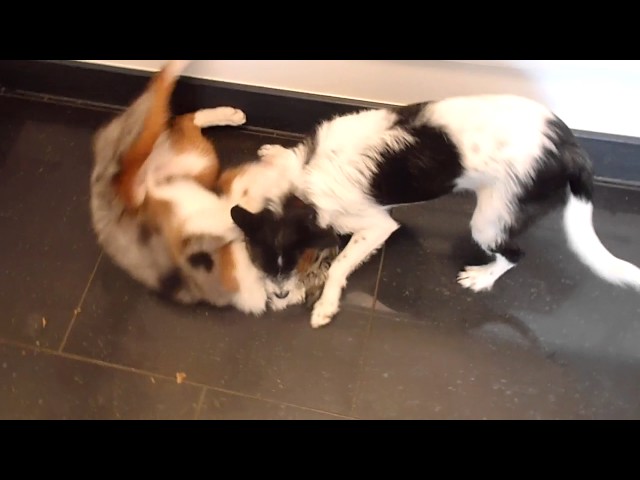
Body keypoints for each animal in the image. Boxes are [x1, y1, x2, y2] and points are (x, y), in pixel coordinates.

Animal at [91, 60, 337, 315]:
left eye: (299, 268)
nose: (282, 293)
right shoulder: (225, 196)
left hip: (200, 162)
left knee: (184, 119)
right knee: (165, 89)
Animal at [230, 95, 640, 328]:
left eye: (295, 260)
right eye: (262, 262)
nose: (279, 297)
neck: (303, 182)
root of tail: (570, 147)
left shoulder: (377, 226)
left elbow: (341, 264)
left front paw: (325, 304)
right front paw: (274, 152)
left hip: (489, 219)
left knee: (514, 254)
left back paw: (483, 277)